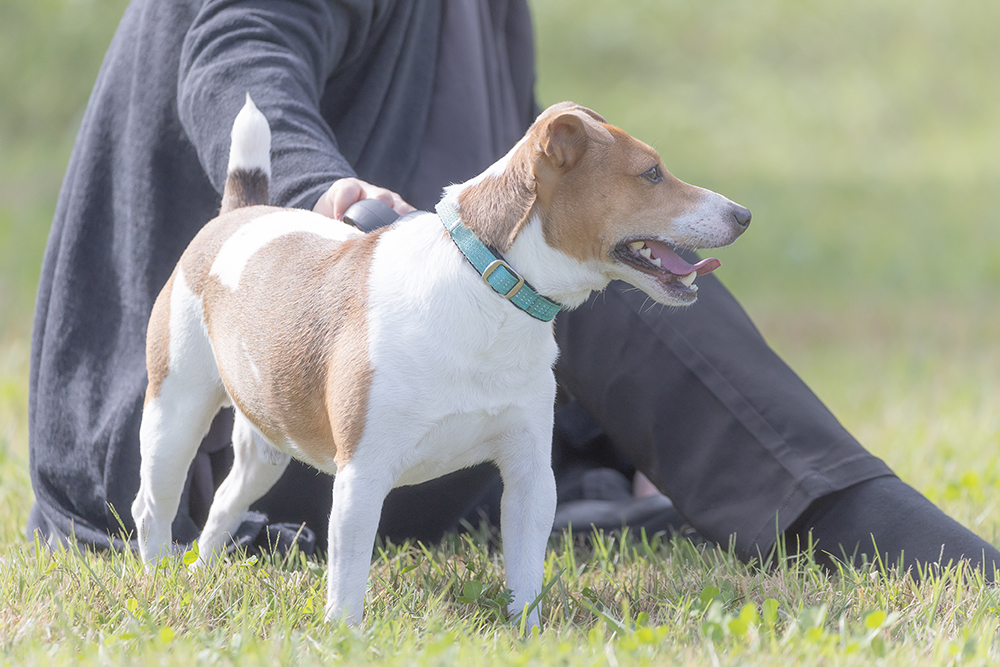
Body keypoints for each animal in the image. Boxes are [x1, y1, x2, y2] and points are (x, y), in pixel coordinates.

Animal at [131, 94, 752, 628]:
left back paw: (201, 572)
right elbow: (348, 576)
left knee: (224, 506)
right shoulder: (362, 476)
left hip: (265, 447)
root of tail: (239, 214)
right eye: (651, 174)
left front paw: (528, 633)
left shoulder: (530, 474)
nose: (744, 214)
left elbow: (526, 571)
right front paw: (342, 636)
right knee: (151, 506)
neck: (491, 286)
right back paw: (160, 580)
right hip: (176, 413)